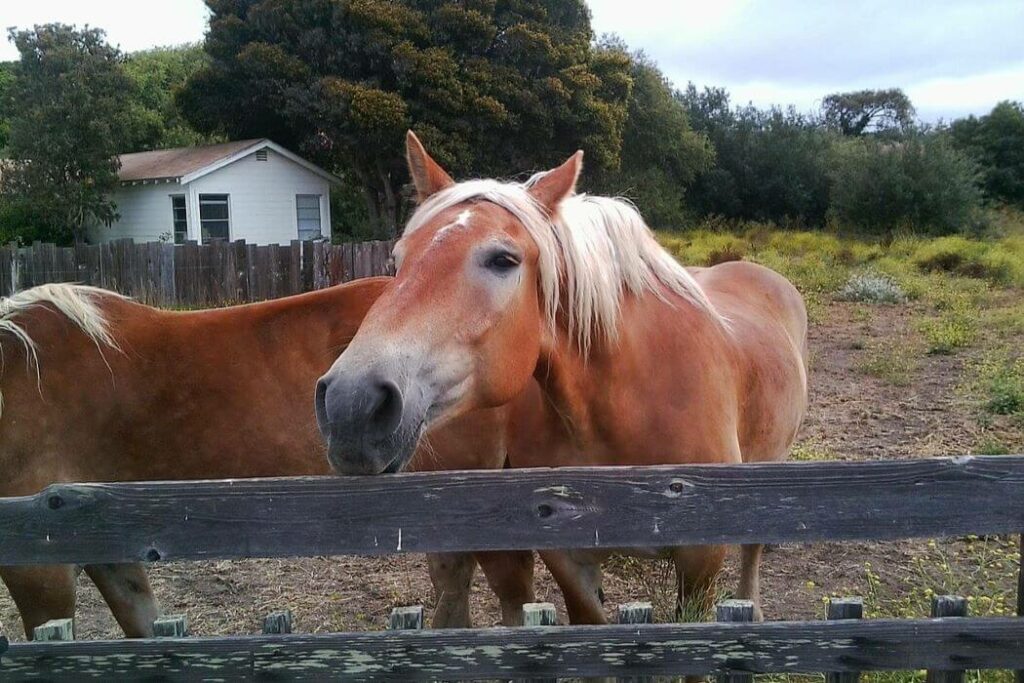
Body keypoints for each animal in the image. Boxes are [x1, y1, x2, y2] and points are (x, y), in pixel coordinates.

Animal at [313, 131, 806, 622]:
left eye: (503, 259)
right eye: (397, 262)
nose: (351, 404)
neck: (625, 402)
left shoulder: (702, 560)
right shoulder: (567, 556)